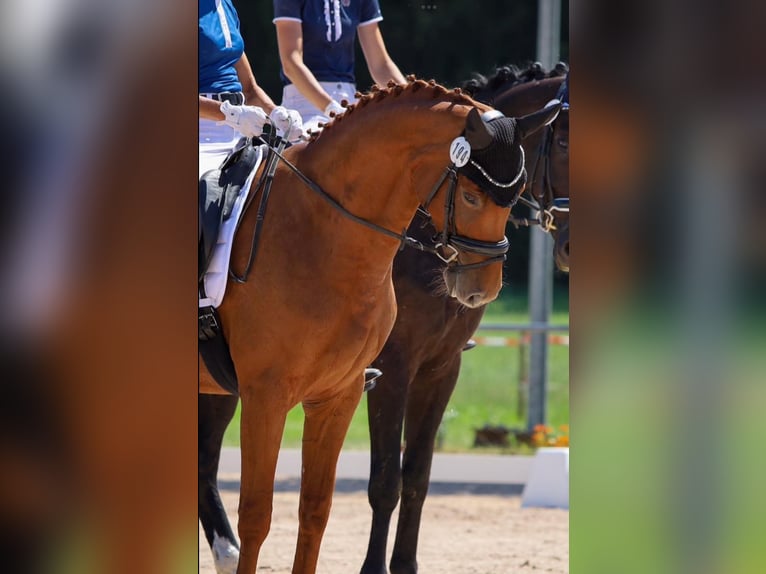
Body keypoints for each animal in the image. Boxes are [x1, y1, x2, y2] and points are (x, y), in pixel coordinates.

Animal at [198, 77, 560, 574]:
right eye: (470, 195)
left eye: (519, 187)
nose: (481, 288)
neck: (323, 235)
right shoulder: (269, 396)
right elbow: (260, 513)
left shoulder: (348, 392)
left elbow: (321, 507)